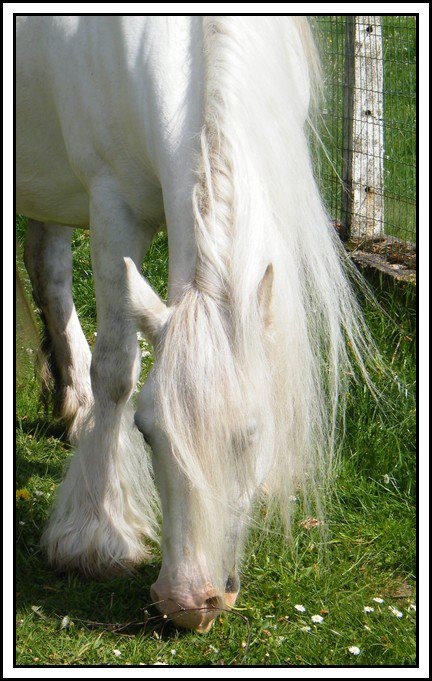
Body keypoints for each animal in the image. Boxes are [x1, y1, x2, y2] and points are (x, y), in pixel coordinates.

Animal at [16, 15, 372, 632]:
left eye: (252, 434)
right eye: (145, 431)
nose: (187, 603)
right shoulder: (113, 206)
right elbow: (117, 371)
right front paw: (95, 534)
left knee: (48, 266)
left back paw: (74, 405)